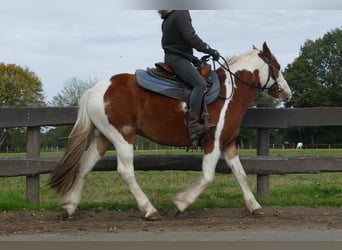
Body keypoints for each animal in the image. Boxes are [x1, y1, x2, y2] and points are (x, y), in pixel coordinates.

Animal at [47, 42, 292, 221]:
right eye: (277, 66)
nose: (287, 92)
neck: (229, 93)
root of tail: (95, 90)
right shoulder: (212, 143)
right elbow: (208, 176)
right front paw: (181, 203)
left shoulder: (228, 144)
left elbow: (240, 174)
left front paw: (254, 206)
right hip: (122, 137)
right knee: (125, 171)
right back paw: (149, 210)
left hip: (102, 139)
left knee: (85, 166)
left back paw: (69, 206)